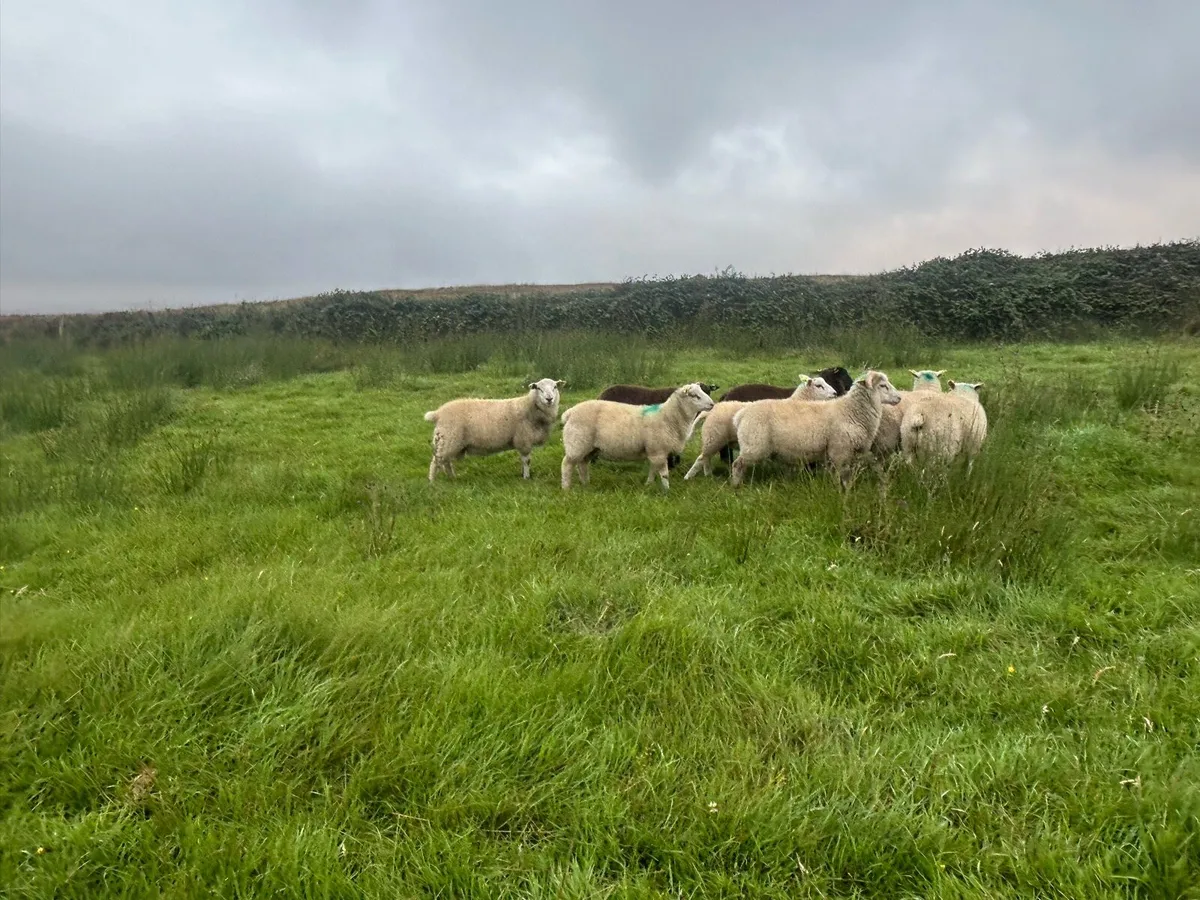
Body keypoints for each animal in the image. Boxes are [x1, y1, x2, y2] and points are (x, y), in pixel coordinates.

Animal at [424, 378, 565, 482]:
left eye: (555, 387)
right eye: (539, 388)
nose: (549, 399)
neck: (530, 407)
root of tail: (438, 413)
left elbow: (523, 461)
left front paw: (522, 474)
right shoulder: (524, 440)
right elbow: (527, 461)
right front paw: (526, 477)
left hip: (449, 442)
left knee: (445, 462)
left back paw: (452, 478)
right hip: (448, 439)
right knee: (436, 462)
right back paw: (432, 482)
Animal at [560, 383, 715, 491]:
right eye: (695, 395)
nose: (712, 404)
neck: (669, 416)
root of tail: (570, 412)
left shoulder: (654, 451)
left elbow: (653, 470)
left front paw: (649, 484)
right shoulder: (658, 449)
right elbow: (664, 473)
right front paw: (667, 490)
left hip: (589, 447)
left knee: (582, 464)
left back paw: (586, 484)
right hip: (577, 443)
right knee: (567, 464)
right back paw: (566, 488)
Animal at [683, 375, 837, 479]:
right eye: (819, 386)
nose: (835, 393)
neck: (799, 401)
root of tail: (711, 410)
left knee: (706, 458)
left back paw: (707, 474)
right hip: (714, 438)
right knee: (702, 458)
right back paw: (690, 477)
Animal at [730, 370, 902, 489]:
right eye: (882, 386)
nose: (899, 397)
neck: (850, 410)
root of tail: (741, 414)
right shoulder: (839, 450)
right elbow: (842, 476)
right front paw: (842, 491)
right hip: (754, 445)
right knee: (737, 464)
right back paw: (736, 486)